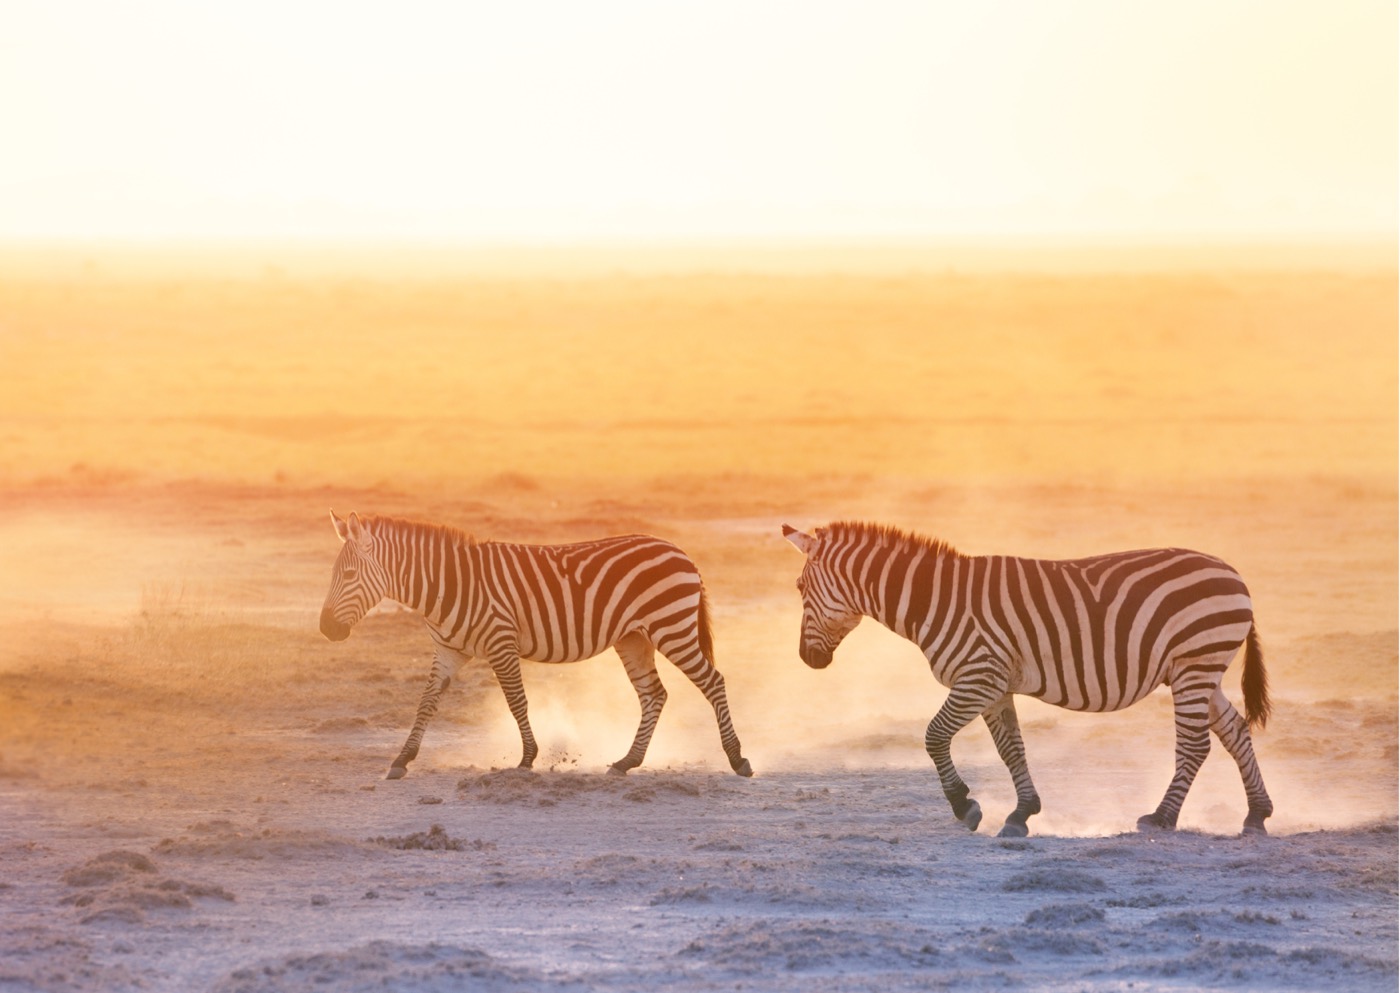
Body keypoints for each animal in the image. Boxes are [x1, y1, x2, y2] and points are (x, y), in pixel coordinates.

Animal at [320, 511, 752, 780]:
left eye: (349, 574)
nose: (325, 629)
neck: (447, 586)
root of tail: (681, 552)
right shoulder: (448, 651)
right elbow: (425, 703)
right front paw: (402, 759)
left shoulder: (501, 643)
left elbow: (516, 701)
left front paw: (527, 759)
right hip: (635, 638)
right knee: (654, 694)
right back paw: (627, 761)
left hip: (671, 628)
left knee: (713, 682)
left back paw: (737, 759)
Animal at [781, 520, 1273, 837]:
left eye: (800, 589)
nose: (807, 660)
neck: (933, 599)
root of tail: (1234, 572)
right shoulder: (995, 686)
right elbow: (1010, 750)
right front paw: (1022, 813)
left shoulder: (977, 677)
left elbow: (934, 736)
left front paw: (965, 805)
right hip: (1199, 670)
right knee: (1235, 731)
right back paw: (1257, 814)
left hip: (1194, 663)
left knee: (1195, 744)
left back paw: (1162, 818)